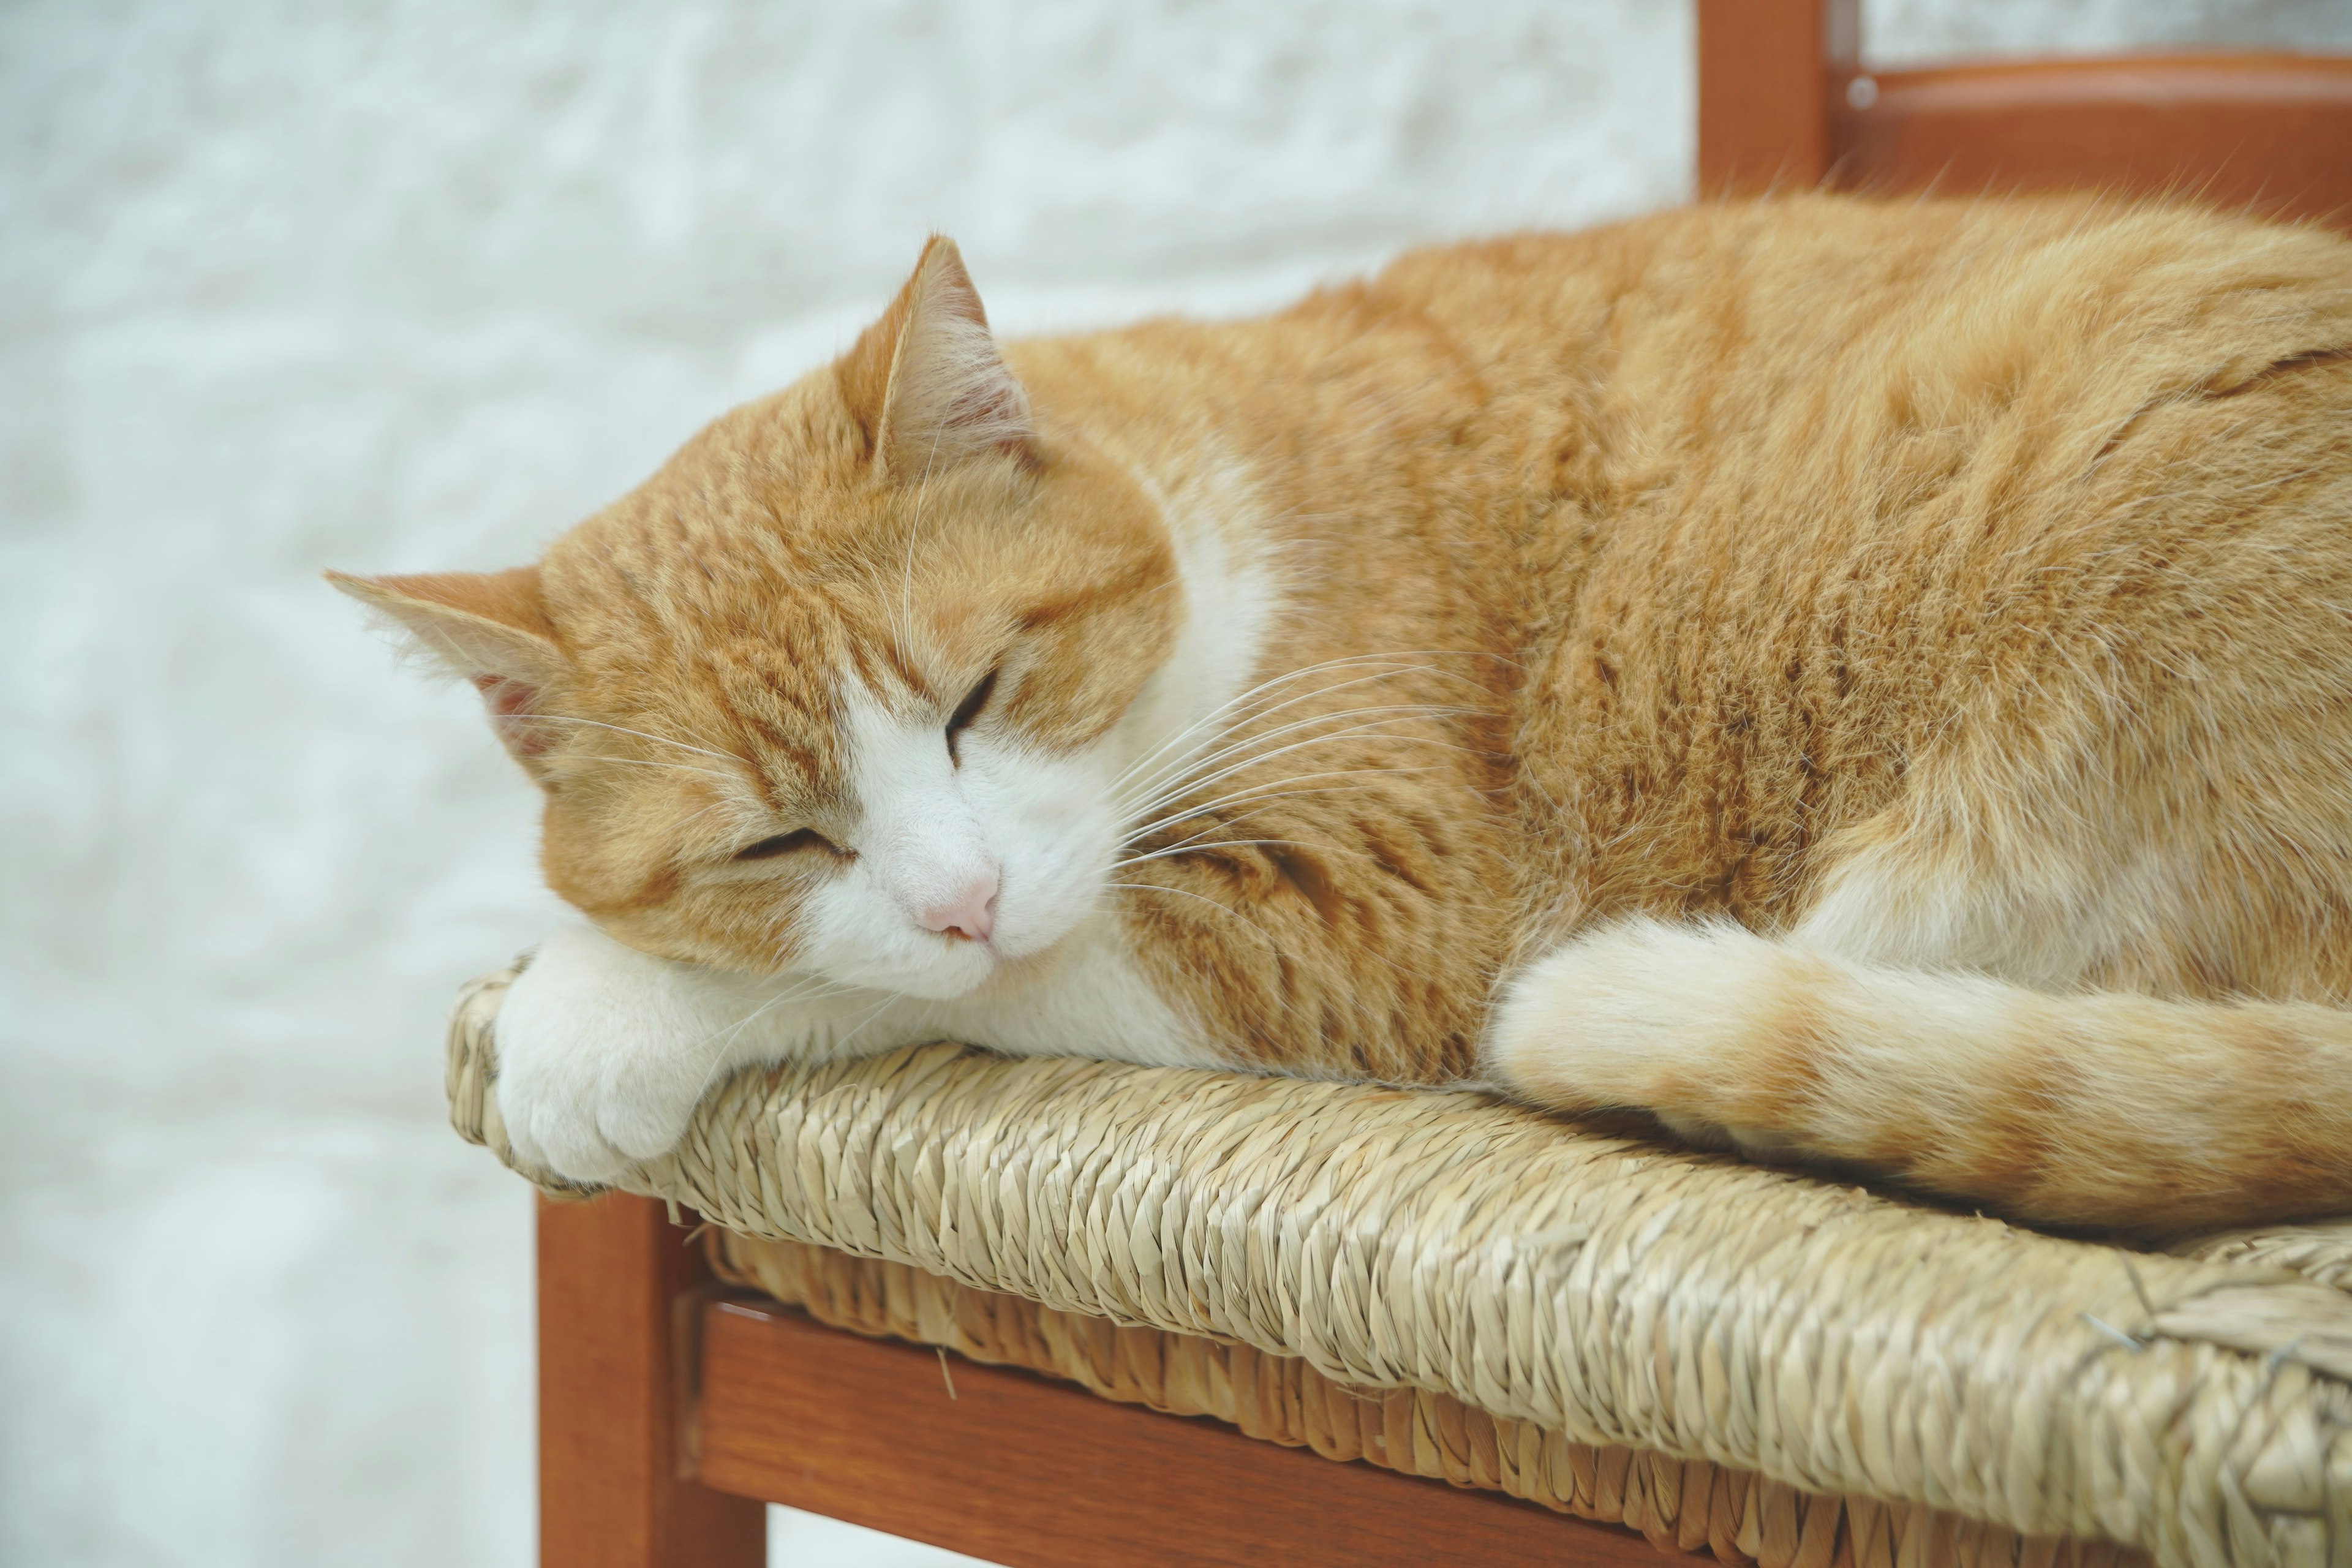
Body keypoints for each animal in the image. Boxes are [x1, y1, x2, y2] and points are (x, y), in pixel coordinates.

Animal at [336, 196, 2352, 1232]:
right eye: (779, 834)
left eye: (980, 694)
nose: (966, 898)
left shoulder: (1374, 905)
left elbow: (902, 980)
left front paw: (598, 1010)